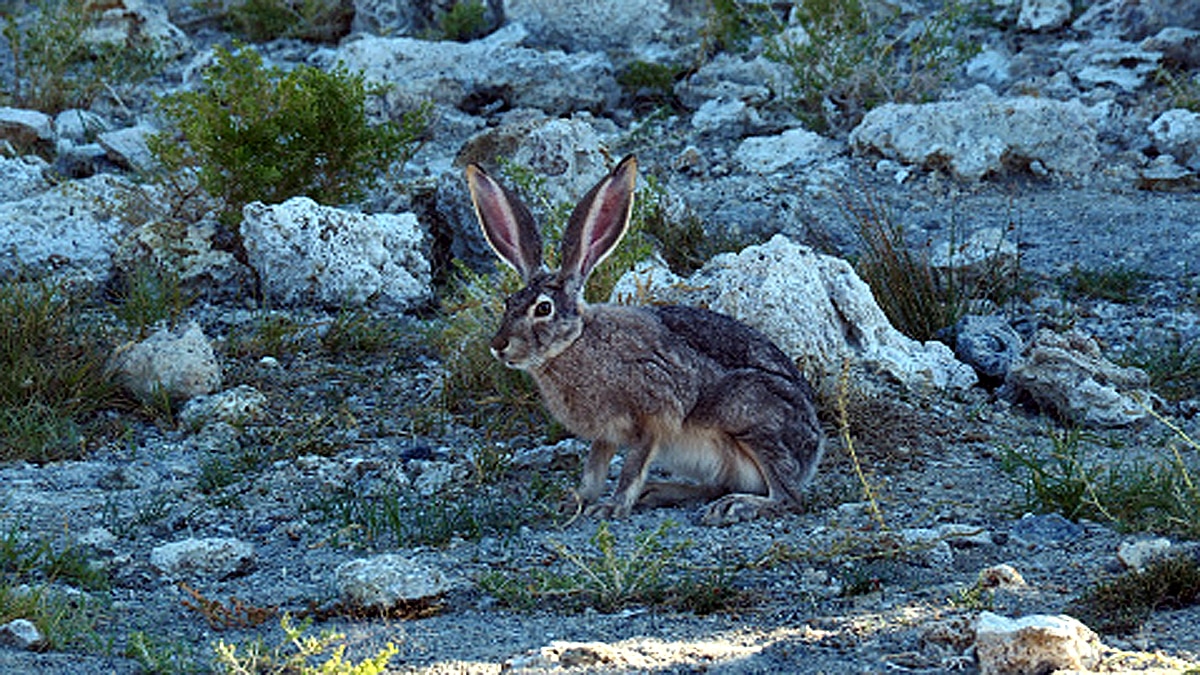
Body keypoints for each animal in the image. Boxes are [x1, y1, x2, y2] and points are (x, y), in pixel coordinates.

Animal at [465, 155, 824, 525]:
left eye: (543, 308)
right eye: (508, 302)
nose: (499, 345)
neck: (576, 342)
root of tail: (812, 452)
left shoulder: (651, 416)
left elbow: (631, 467)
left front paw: (611, 507)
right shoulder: (605, 434)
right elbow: (594, 469)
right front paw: (575, 501)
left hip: (753, 421)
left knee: (789, 498)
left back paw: (737, 506)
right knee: (719, 485)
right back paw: (660, 492)